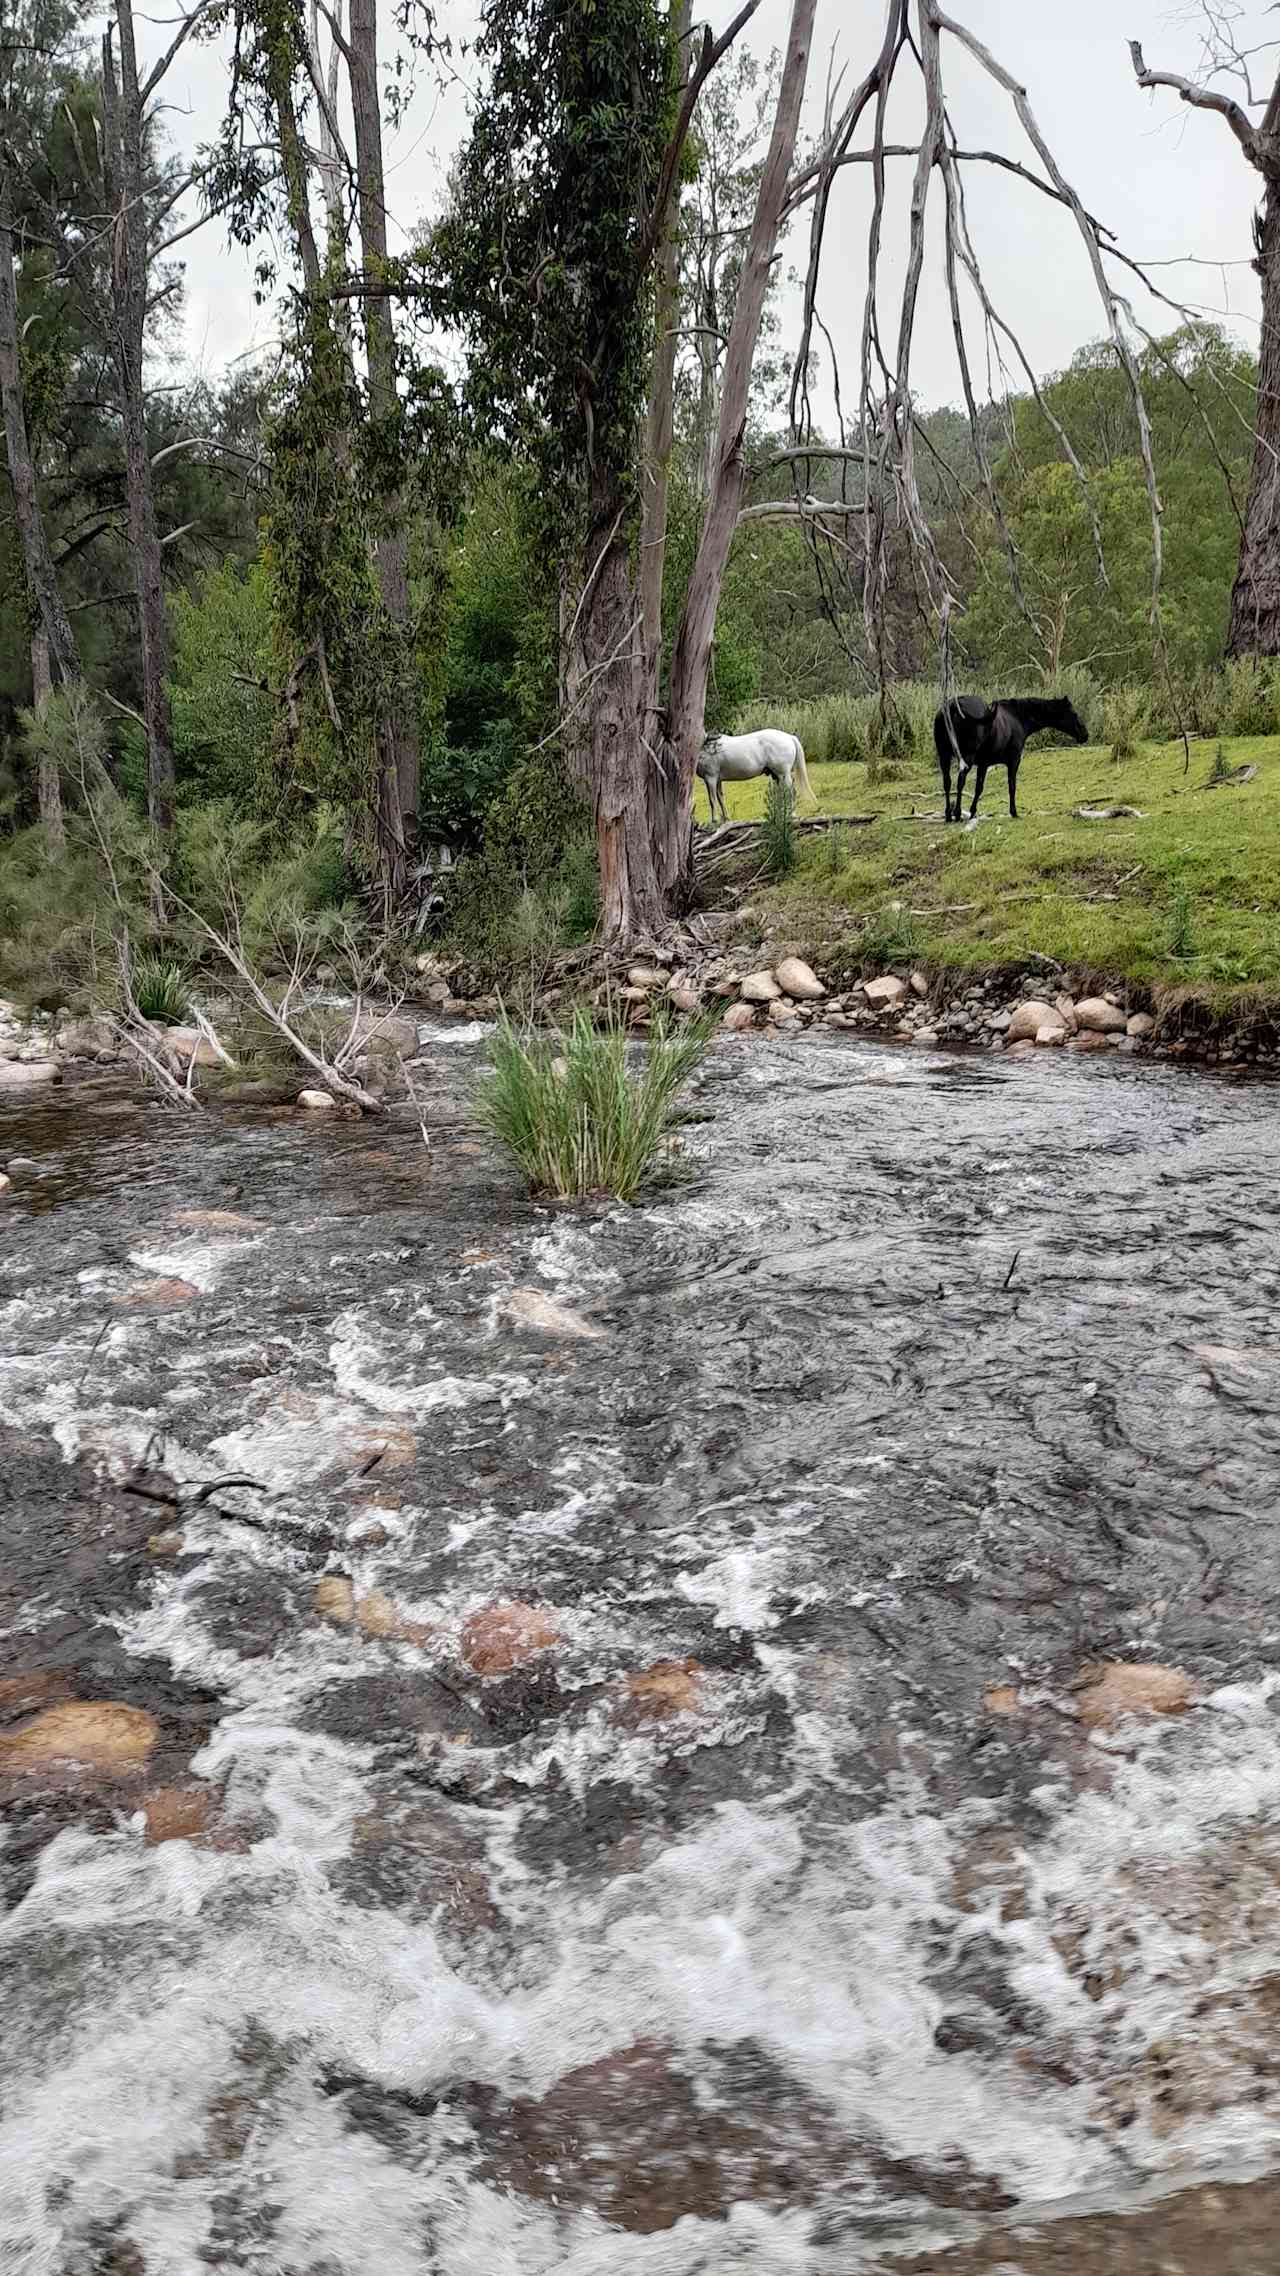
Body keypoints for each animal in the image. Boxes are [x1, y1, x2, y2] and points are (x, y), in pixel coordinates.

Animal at [933, 701, 1079, 828]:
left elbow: (978, 788)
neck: (1016, 717)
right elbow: (1011, 786)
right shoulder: (1013, 761)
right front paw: (1013, 812)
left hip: (944, 756)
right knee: (960, 781)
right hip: (966, 758)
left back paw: (948, 815)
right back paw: (957, 813)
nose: (1083, 735)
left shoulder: (983, 764)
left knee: (947, 783)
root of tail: (952, 706)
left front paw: (973, 811)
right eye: (1074, 713)